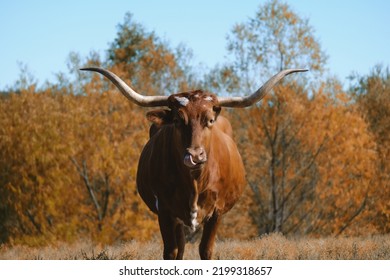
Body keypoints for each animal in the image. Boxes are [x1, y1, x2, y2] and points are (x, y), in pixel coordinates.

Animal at [79, 66, 306, 260]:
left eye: (210, 120)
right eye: (178, 121)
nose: (195, 156)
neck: (195, 182)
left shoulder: (217, 212)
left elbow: (206, 250)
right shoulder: (165, 211)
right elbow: (171, 251)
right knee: (179, 247)